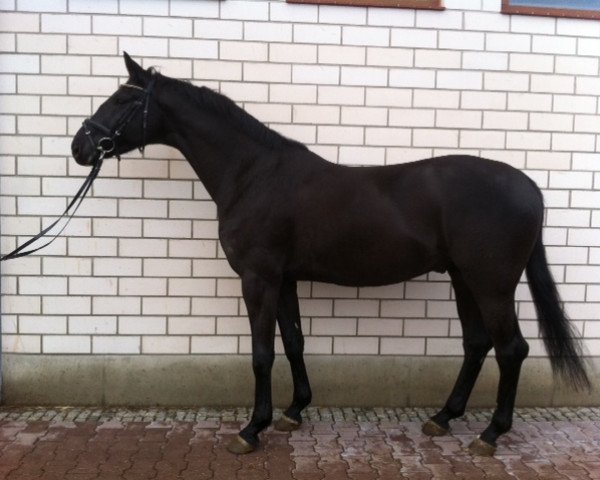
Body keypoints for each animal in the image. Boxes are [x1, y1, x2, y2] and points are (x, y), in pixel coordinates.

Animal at [71, 54, 592, 456]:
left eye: (122, 100)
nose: (80, 146)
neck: (254, 174)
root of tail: (528, 186)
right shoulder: (284, 278)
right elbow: (294, 342)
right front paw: (293, 411)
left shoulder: (258, 277)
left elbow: (262, 353)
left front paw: (251, 429)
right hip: (464, 278)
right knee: (477, 344)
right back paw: (443, 417)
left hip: (492, 283)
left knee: (512, 349)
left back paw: (490, 434)